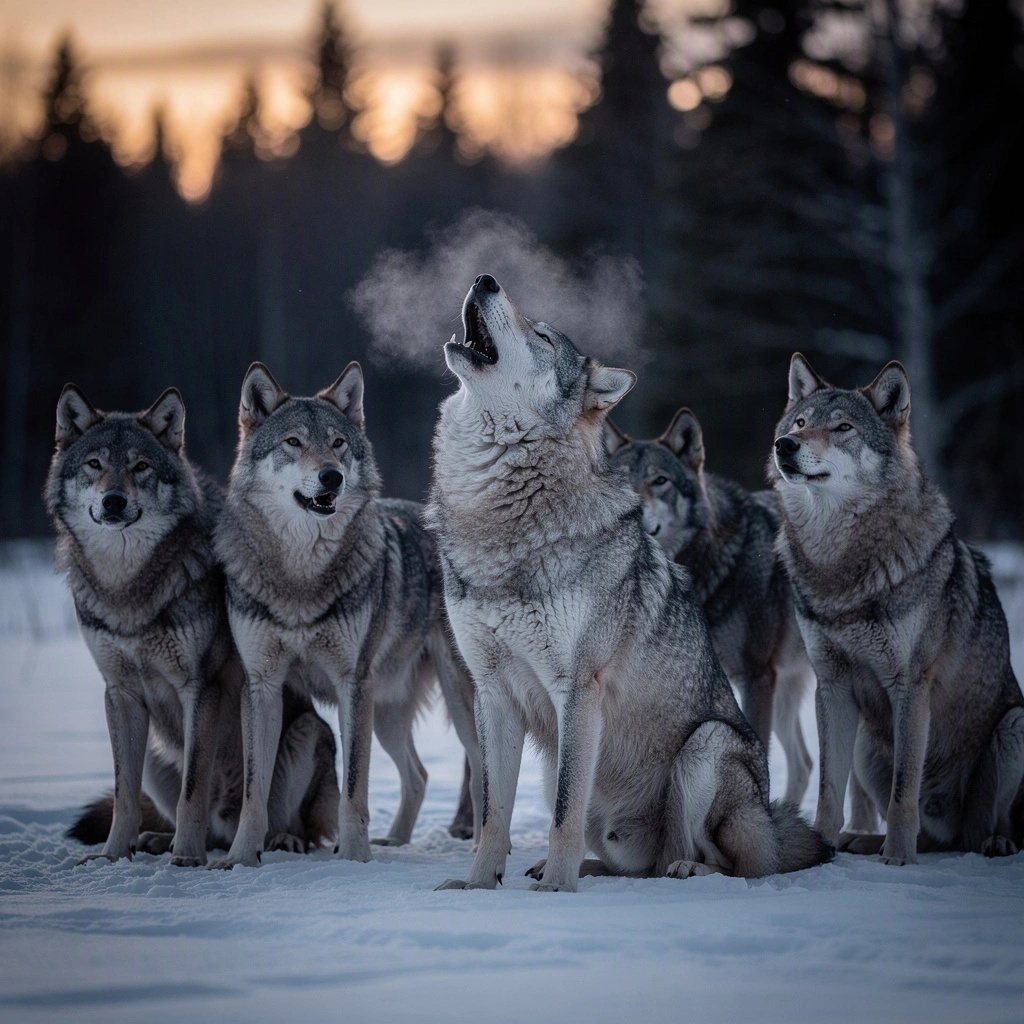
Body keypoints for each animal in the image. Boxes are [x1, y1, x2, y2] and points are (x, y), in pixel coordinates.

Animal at [46, 385, 339, 866]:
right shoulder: (120, 693)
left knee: (293, 826)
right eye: (95, 464)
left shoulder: (200, 688)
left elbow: (193, 789)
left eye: (140, 467)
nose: (114, 501)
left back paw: (277, 840)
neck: (129, 588)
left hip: (305, 733)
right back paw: (156, 840)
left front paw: (185, 856)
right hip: (154, 754)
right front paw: (112, 855)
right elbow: (124, 797)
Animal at [211, 362, 481, 869]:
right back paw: (395, 841)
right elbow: (255, 793)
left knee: (481, 767)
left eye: (337, 442)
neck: (300, 576)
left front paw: (354, 858)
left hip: (455, 699)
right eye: (293, 442)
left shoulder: (351, 683)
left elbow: (354, 787)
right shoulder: (263, 686)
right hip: (388, 711)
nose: (331, 477)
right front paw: (239, 858)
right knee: (418, 775)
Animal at [771, 353, 1024, 863]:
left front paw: (898, 858)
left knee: (986, 824)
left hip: (1014, 727)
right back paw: (862, 840)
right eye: (802, 423)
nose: (783, 445)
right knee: (936, 835)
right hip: (867, 743)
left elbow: (904, 790)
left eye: (843, 427)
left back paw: (993, 842)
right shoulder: (832, 686)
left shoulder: (909, 685)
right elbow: (830, 786)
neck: (840, 566)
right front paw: (821, 846)